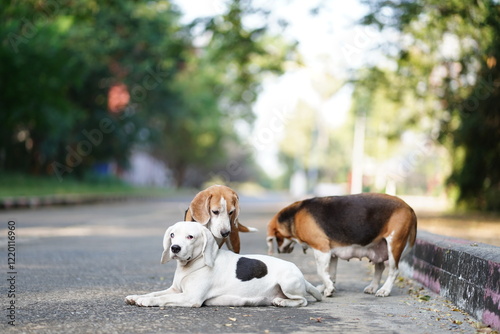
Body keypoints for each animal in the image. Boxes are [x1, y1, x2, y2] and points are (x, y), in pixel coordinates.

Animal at [124, 222, 320, 308]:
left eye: (190, 236)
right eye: (172, 235)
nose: (175, 248)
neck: (193, 264)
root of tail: (300, 274)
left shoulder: (190, 298)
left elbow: (160, 298)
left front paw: (146, 301)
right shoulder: (175, 290)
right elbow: (156, 293)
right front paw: (136, 296)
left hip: (288, 284)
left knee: (302, 301)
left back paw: (283, 302)